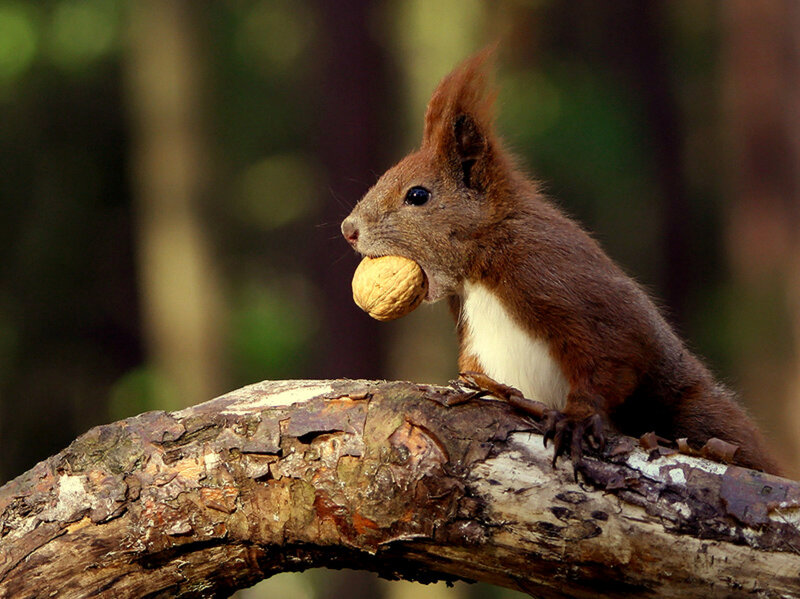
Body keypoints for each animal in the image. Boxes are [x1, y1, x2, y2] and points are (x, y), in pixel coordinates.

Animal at [340, 48, 781, 476]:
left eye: (417, 196)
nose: (349, 229)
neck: (480, 266)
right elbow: (476, 373)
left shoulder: (553, 277)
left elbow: (611, 354)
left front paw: (577, 419)